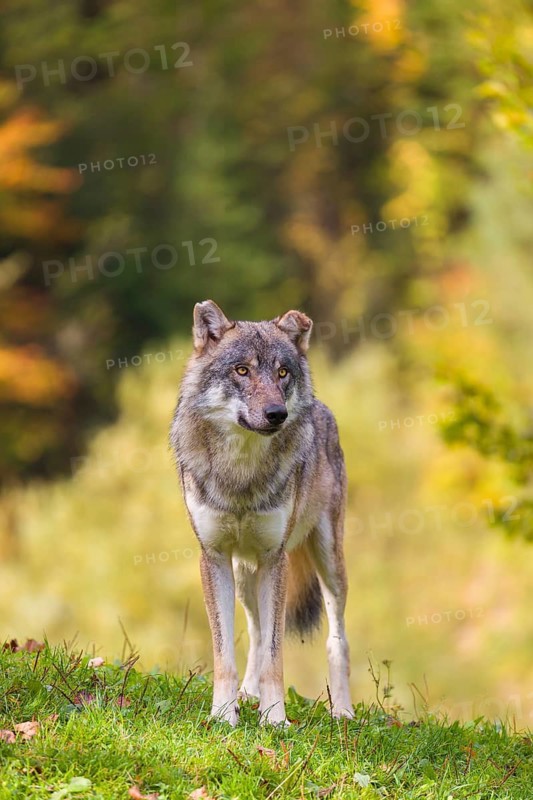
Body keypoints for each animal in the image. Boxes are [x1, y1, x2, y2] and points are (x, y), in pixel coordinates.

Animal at [170, 300, 353, 725]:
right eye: (242, 370)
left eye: (282, 372)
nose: (276, 413)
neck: (242, 472)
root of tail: (323, 407)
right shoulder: (214, 558)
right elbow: (226, 653)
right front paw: (224, 715)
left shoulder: (276, 558)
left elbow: (275, 655)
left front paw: (275, 719)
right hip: (244, 574)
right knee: (254, 631)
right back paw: (247, 693)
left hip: (328, 563)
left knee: (337, 638)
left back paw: (343, 710)